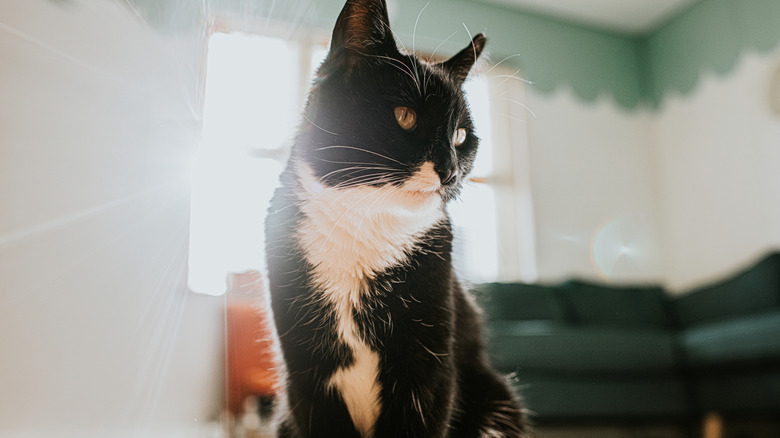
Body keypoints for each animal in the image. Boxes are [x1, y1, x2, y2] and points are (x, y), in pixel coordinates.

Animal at [266, 0, 528, 434]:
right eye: (405, 116)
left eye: (461, 136)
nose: (450, 170)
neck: (362, 224)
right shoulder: (304, 376)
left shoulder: (429, 371)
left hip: (497, 399)